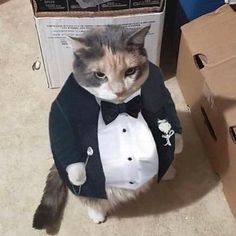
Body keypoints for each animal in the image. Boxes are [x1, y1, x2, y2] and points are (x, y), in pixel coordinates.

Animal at [32, 24, 183, 232]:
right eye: (100, 75)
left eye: (130, 71)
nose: (119, 91)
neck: (120, 107)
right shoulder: (63, 106)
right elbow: (61, 130)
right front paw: (78, 174)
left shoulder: (159, 87)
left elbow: (169, 108)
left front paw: (177, 140)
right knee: (90, 198)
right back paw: (97, 213)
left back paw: (169, 171)